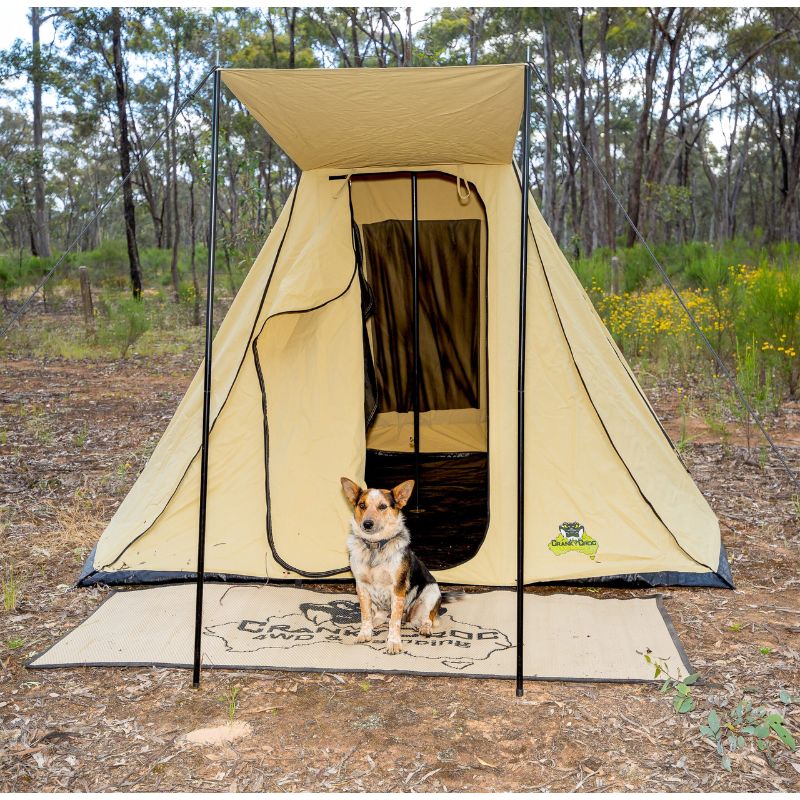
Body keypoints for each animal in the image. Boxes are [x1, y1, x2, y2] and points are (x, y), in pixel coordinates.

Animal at [338, 478, 454, 652]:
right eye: (362, 505)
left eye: (382, 506)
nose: (367, 524)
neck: (375, 546)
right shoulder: (362, 587)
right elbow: (365, 616)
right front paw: (365, 633)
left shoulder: (397, 589)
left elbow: (394, 621)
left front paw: (393, 642)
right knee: (379, 617)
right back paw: (375, 624)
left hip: (430, 594)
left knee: (427, 619)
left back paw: (424, 628)